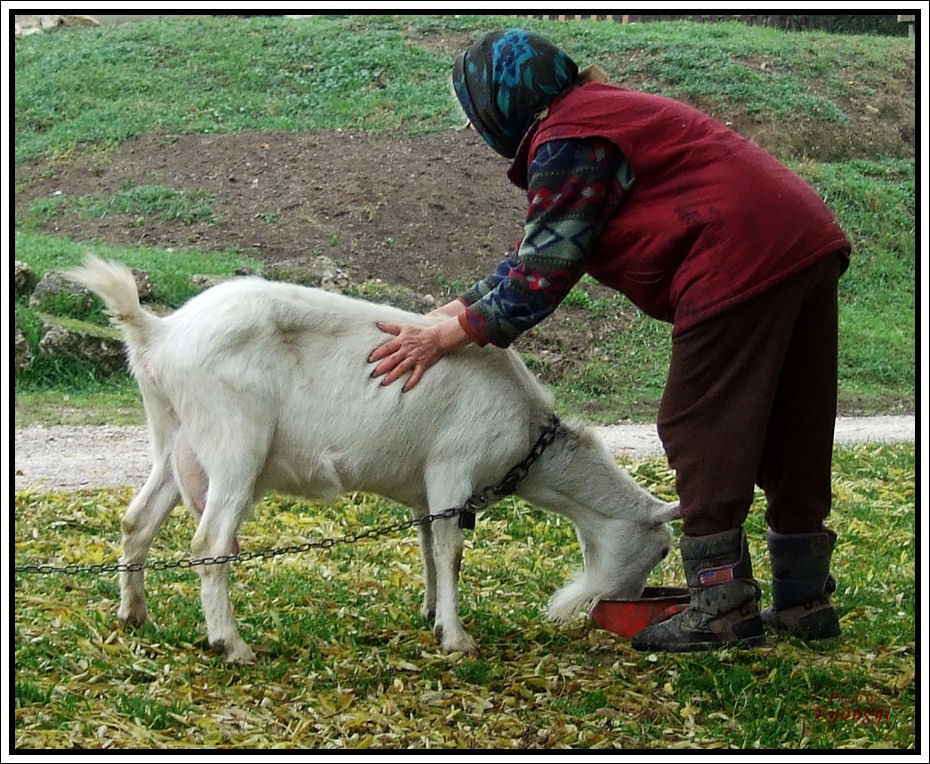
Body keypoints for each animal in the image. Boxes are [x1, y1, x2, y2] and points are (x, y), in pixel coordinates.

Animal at [63, 256, 676, 664]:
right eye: (662, 548)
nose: (620, 608)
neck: (529, 437)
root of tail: (160, 333)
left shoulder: (425, 487)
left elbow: (427, 546)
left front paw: (431, 613)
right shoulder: (452, 465)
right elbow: (452, 551)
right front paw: (457, 638)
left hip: (174, 438)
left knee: (137, 521)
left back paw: (135, 616)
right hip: (234, 442)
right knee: (209, 542)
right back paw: (231, 644)